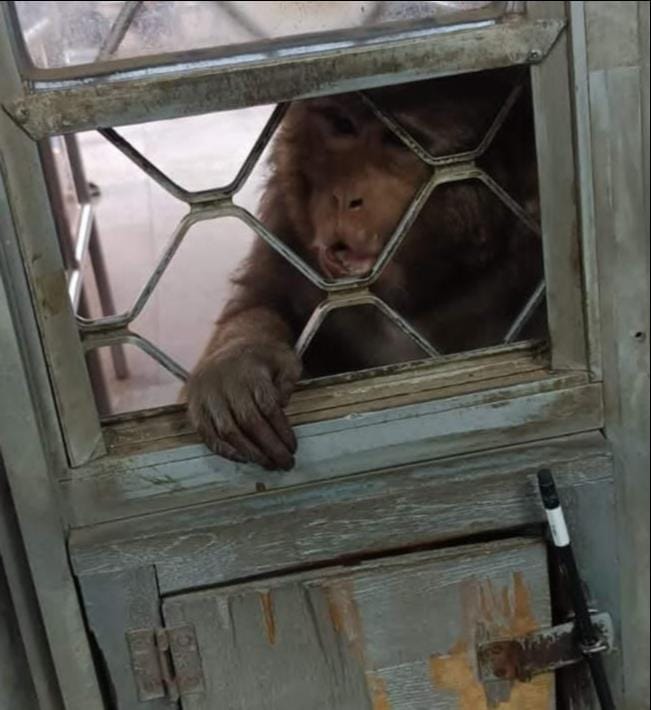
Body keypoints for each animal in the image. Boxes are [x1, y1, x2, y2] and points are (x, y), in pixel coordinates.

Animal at [186, 68, 545, 471]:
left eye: (397, 142)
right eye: (343, 125)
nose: (344, 198)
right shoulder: (287, 231)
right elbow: (260, 301)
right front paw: (240, 361)